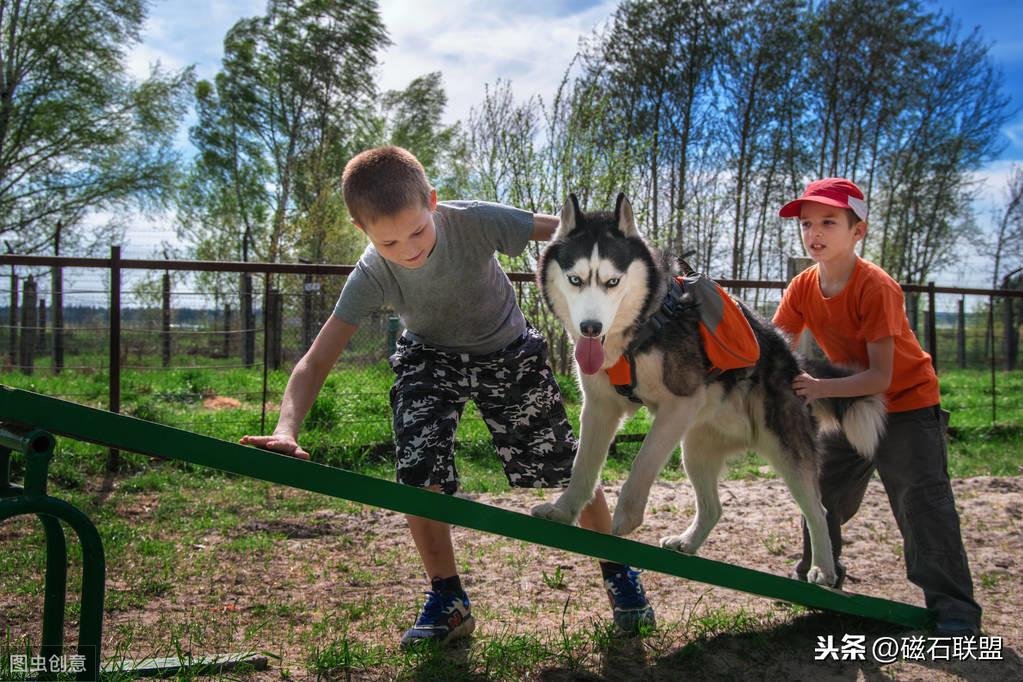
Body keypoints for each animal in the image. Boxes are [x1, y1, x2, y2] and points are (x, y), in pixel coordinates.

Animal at [531, 192, 883, 588]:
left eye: (612, 282)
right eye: (576, 279)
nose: (590, 328)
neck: (640, 329)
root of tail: (795, 361)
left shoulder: (680, 404)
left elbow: (642, 462)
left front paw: (625, 519)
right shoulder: (600, 408)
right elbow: (582, 467)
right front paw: (563, 511)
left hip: (786, 451)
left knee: (818, 511)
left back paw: (823, 568)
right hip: (695, 449)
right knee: (713, 508)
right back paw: (688, 541)